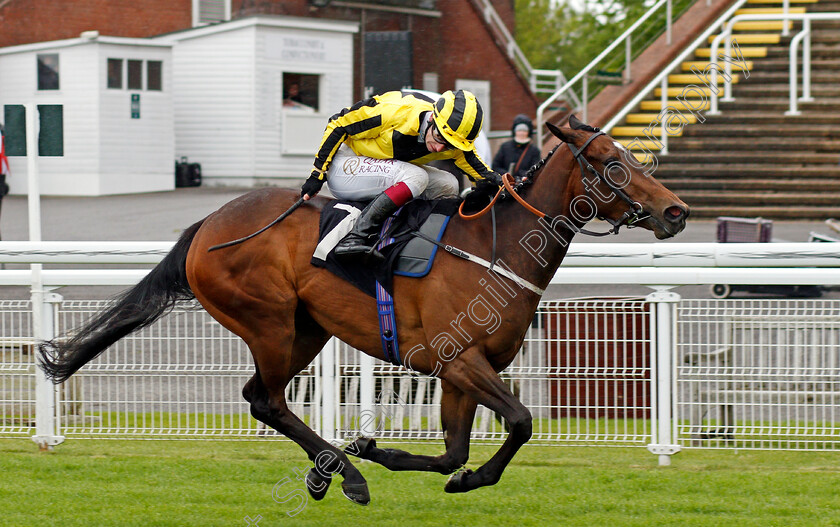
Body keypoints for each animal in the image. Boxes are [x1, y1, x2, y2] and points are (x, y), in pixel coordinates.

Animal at [37, 117, 688, 506]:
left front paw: (395, 454)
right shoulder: (458, 359)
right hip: (269, 320)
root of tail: (210, 223)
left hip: (306, 330)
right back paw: (343, 474)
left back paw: (329, 468)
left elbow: (454, 450)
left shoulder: (461, 373)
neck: (495, 247)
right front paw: (443, 472)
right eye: (611, 162)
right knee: (266, 400)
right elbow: (522, 421)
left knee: (263, 397)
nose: (676, 212)